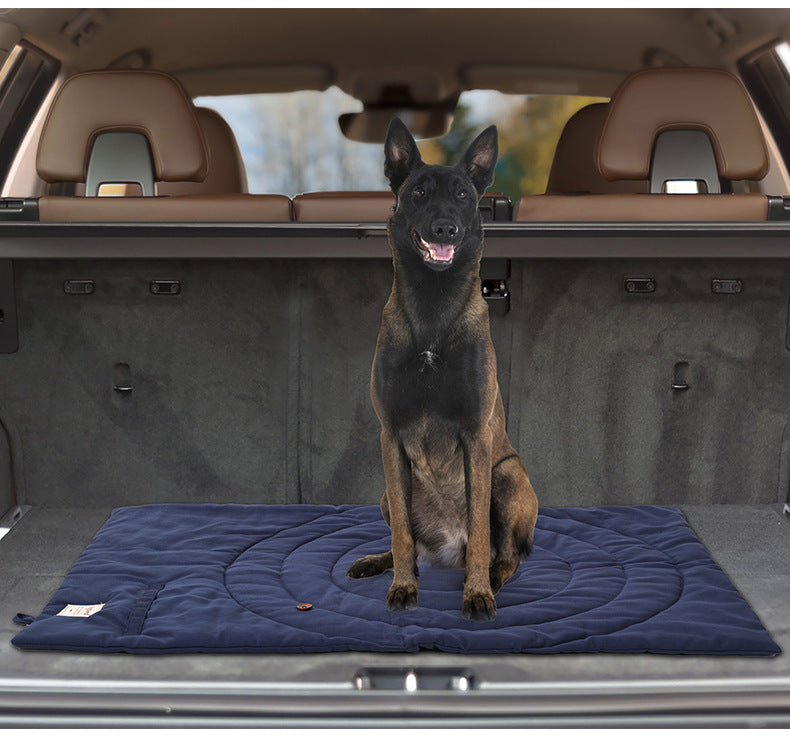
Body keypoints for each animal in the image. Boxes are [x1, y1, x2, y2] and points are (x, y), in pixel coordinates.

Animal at [346, 119, 540, 624]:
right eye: (418, 193)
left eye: (463, 195)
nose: (445, 228)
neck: (433, 310)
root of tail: (445, 553)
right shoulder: (391, 435)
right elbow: (401, 535)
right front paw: (402, 588)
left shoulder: (476, 435)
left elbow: (480, 529)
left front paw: (476, 594)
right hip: (386, 492)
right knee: (410, 546)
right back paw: (383, 564)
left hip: (509, 476)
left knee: (506, 555)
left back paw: (491, 579)